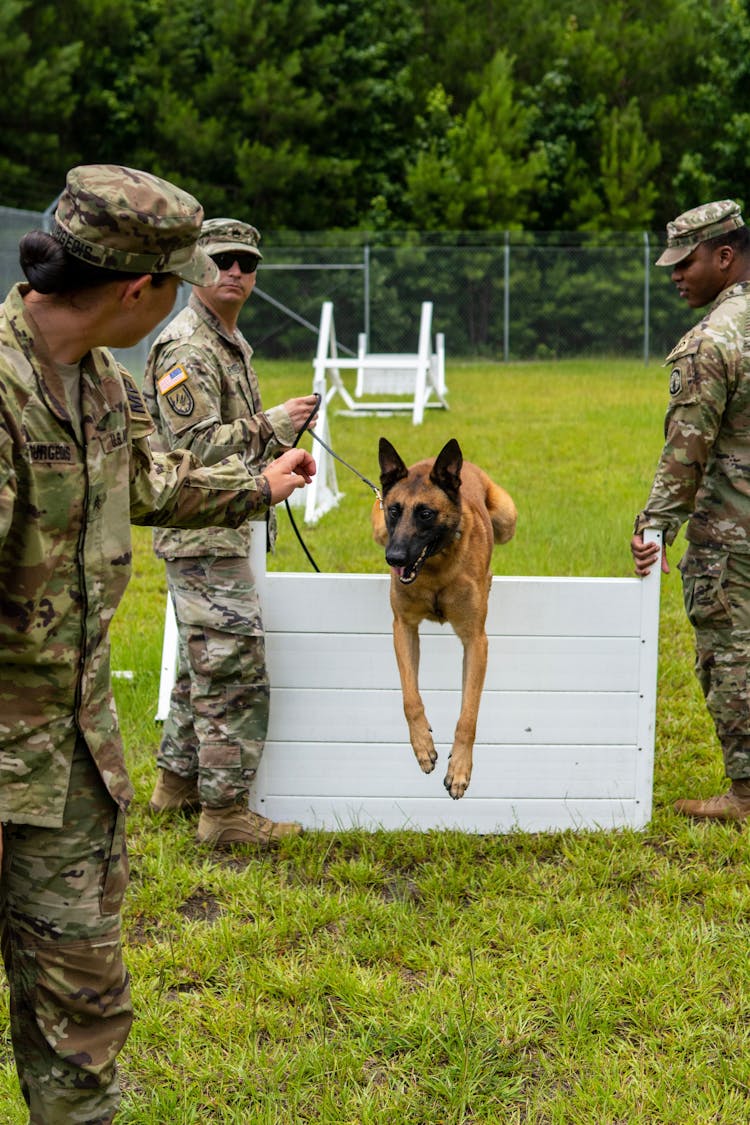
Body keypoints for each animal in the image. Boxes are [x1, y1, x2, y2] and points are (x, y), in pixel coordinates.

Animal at [371, 434, 517, 796]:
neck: (435, 567)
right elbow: (410, 697)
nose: (394, 559)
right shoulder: (404, 628)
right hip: (377, 527)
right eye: (395, 510)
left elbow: (468, 715)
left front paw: (460, 769)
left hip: (507, 518)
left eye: (425, 513)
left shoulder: (476, 641)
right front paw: (422, 746)